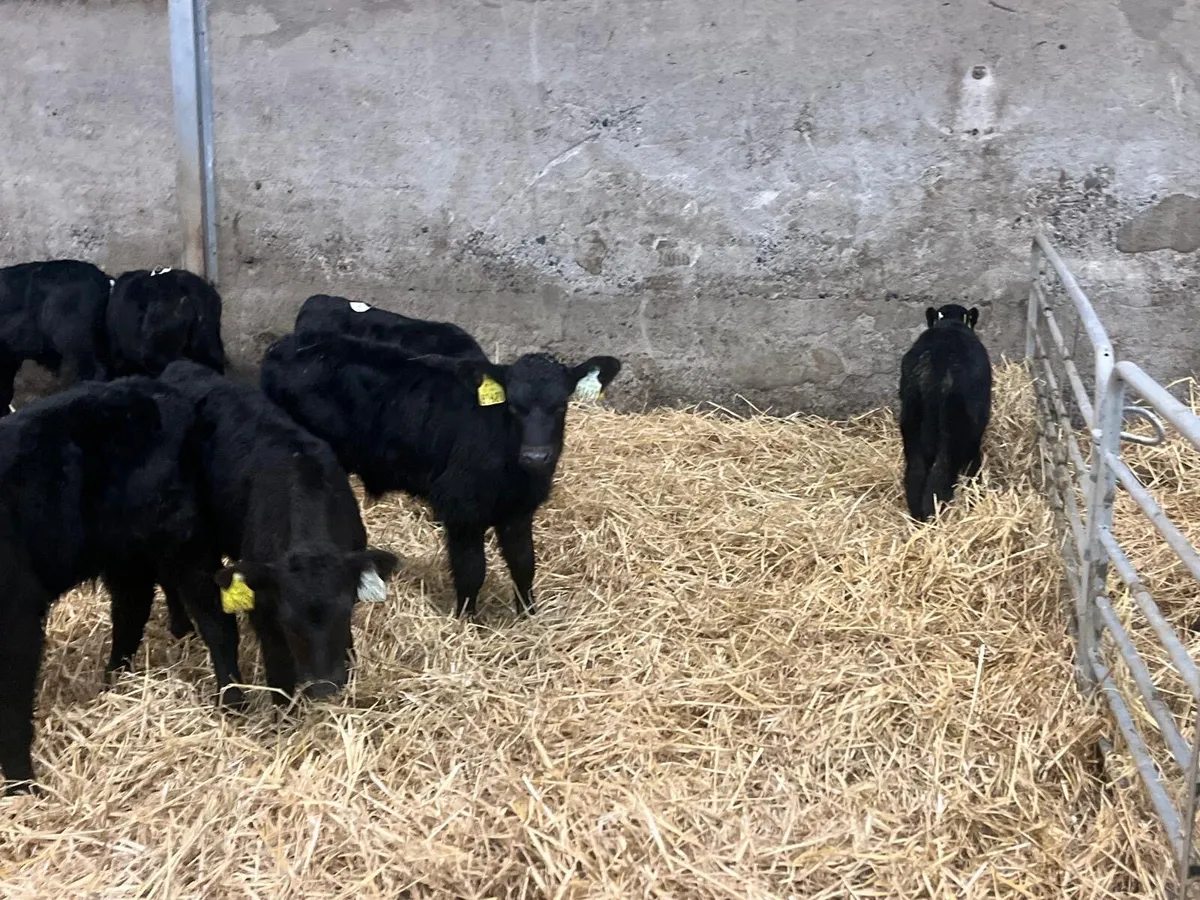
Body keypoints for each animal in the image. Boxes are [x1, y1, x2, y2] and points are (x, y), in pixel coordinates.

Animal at [0, 375, 222, 793]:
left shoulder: (18, 617)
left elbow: (12, 707)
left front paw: (21, 785)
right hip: (129, 551)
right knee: (134, 608)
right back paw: (115, 683)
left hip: (179, 536)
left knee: (213, 616)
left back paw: (232, 700)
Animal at [260, 333, 621, 619]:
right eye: (513, 407)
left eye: (560, 405)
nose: (535, 456)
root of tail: (286, 344)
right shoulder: (461, 509)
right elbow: (472, 570)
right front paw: (468, 623)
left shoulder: (518, 511)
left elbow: (524, 565)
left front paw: (529, 616)